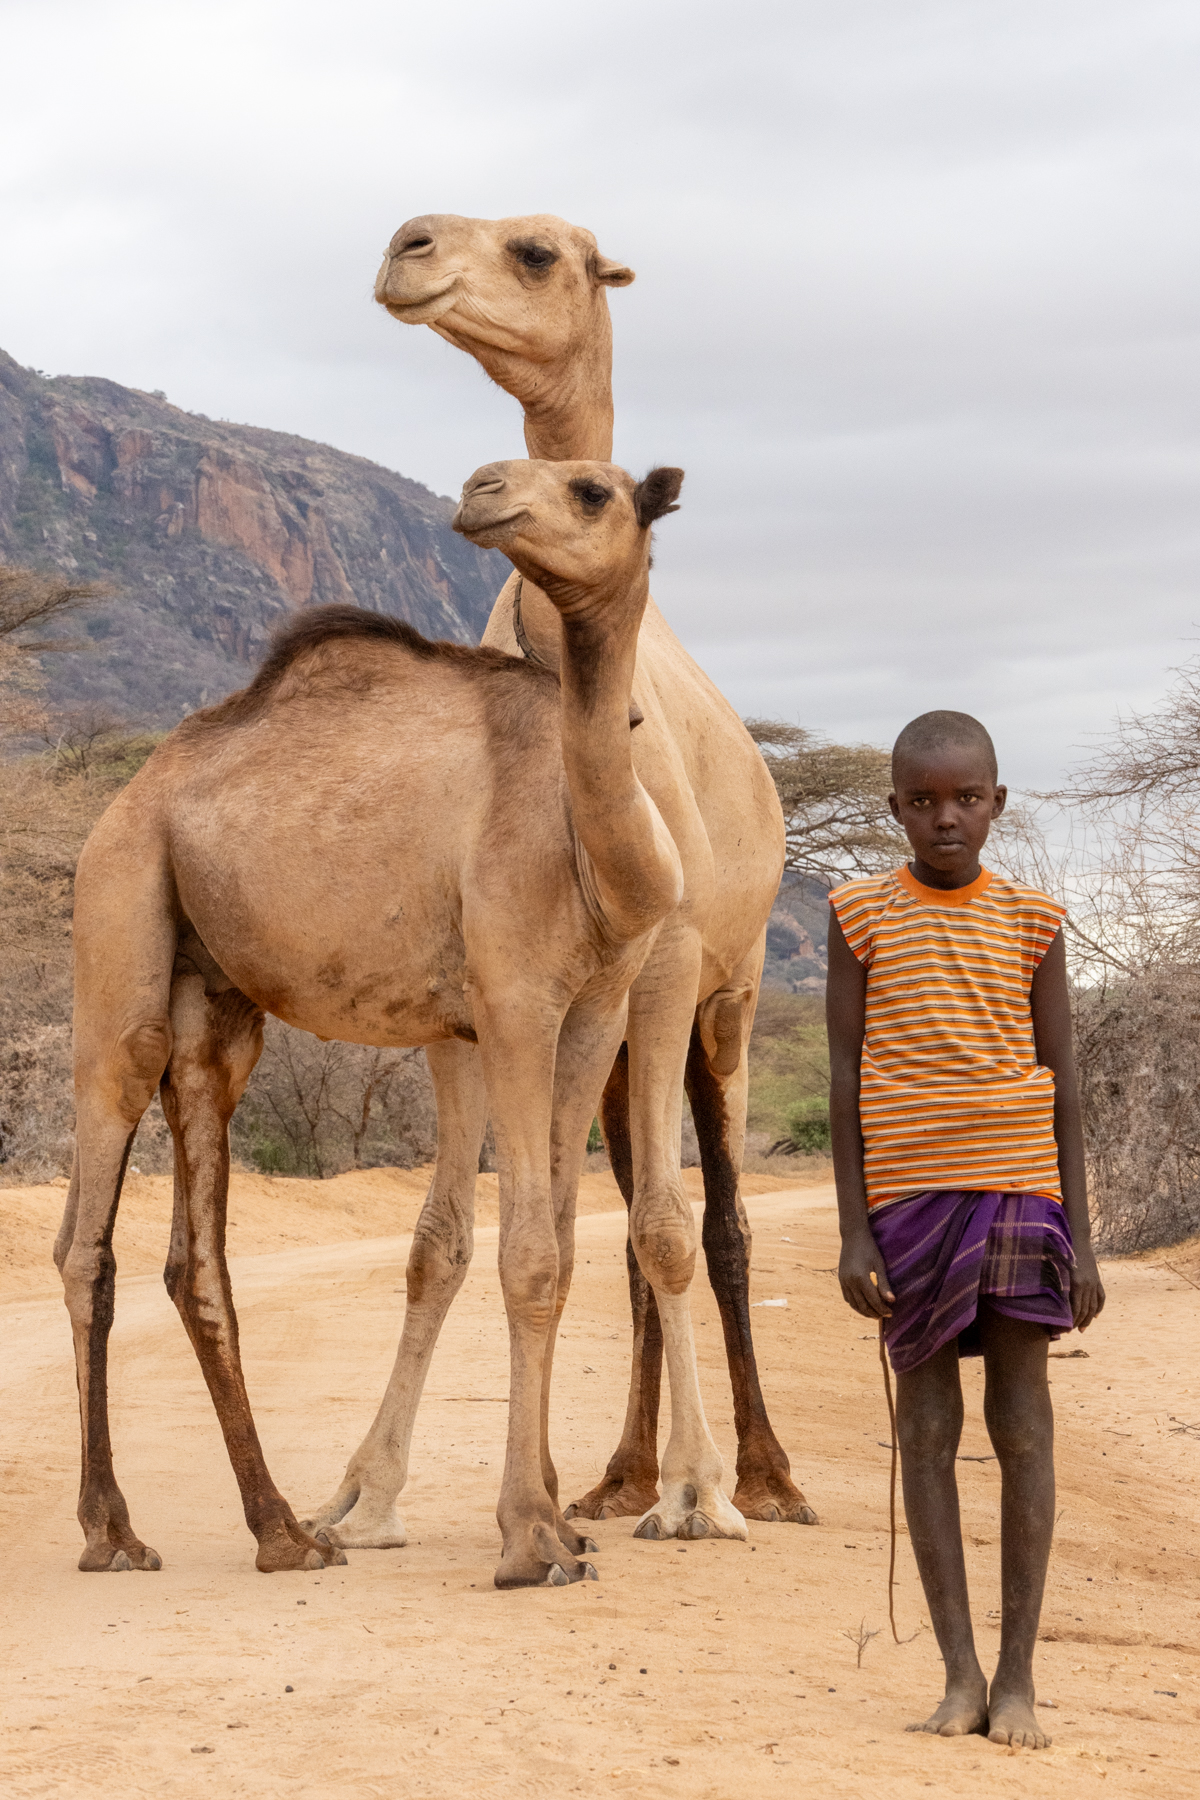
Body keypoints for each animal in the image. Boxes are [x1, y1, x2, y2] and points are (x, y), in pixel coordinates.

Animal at [57, 454, 753, 1585]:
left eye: (594, 489)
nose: (483, 487)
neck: (593, 847)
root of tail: (132, 792)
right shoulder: (511, 1001)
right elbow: (530, 1255)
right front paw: (530, 1541)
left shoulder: (594, 1009)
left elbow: (558, 1242)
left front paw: (560, 1525)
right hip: (120, 907)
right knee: (89, 1226)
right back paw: (114, 1532)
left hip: (214, 996)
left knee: (192, 1238)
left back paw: (285, 1532)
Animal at [301, 214, 815, 1550]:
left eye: (536, 251)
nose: (408, 245)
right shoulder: (473, 995)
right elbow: (444, 1236)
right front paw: (364, 1494)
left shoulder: (669, 962)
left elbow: (673, 1228)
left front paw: (701, 1491)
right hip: (629, 1035)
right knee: (631, 1219)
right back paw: (618, 1475)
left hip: (728, 1001)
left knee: (715, 1220)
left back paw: (760, 1478)